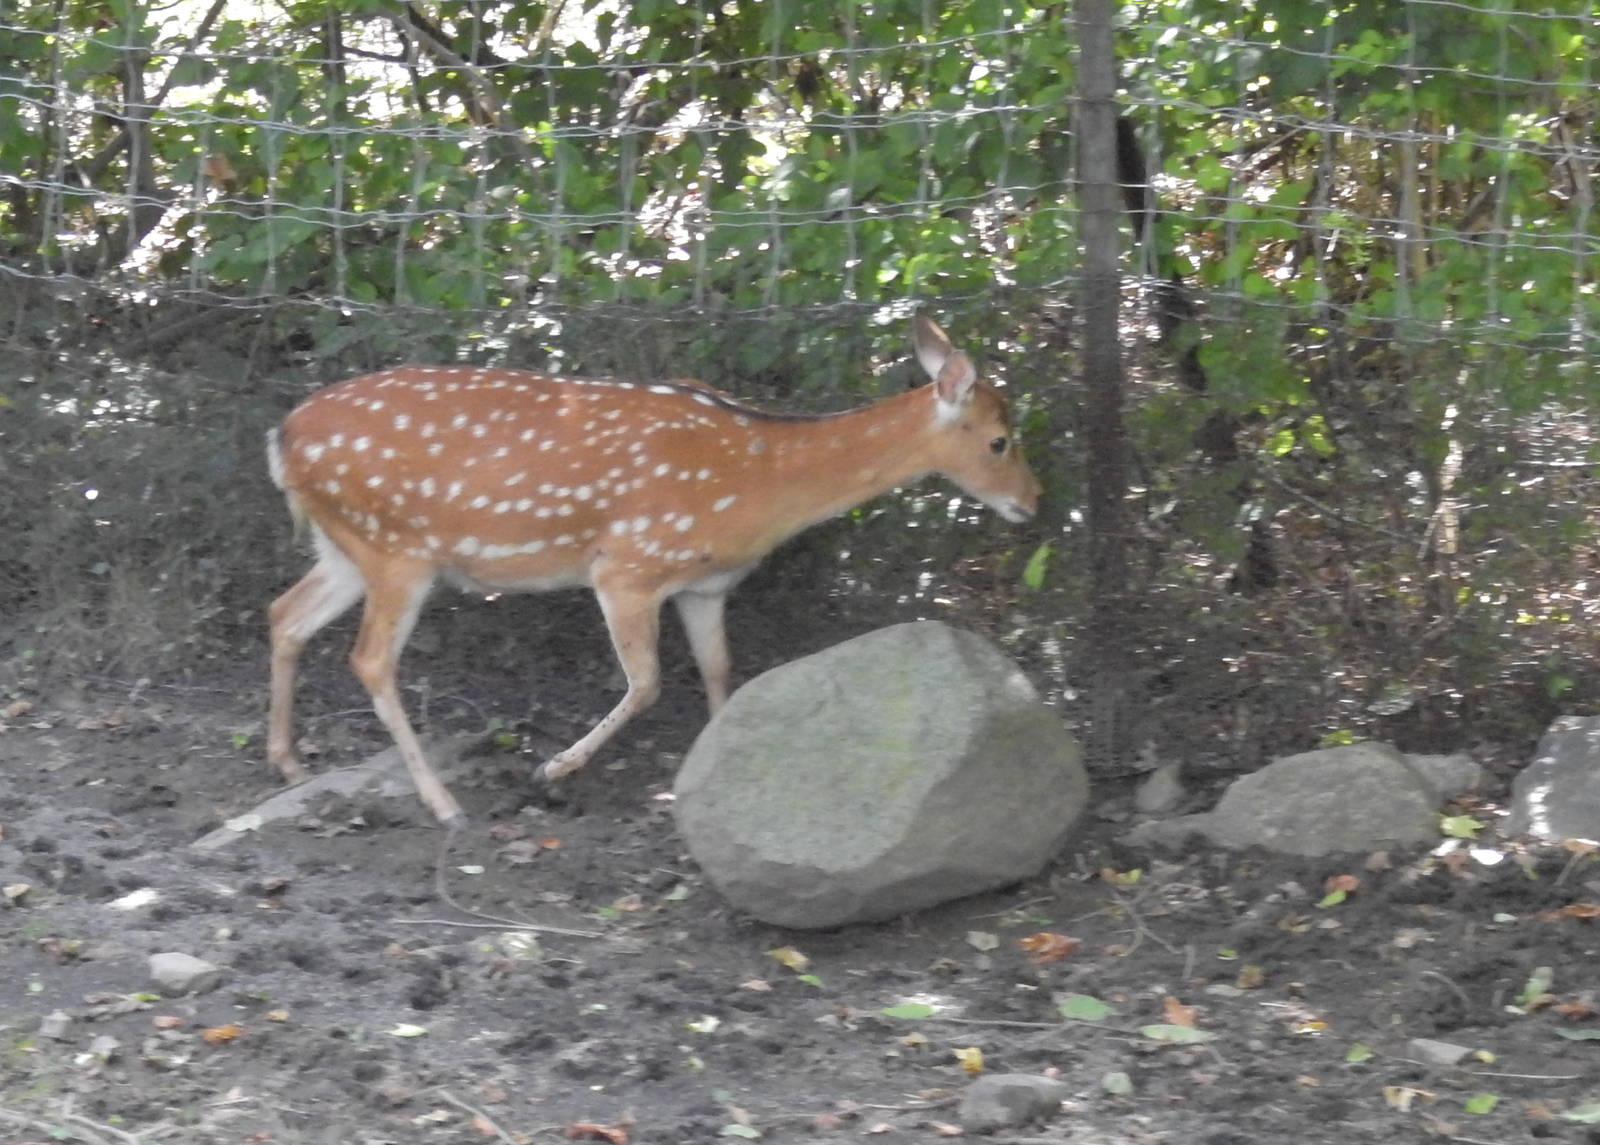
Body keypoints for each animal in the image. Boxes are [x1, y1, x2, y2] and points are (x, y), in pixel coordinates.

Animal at [265, 315, 1043, 825]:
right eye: (1000, 440)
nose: (1034, 501)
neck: (758, 481)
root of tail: (281, 436)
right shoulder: (629, 565)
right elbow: (647, 683)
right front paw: (551, 769)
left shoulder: (705, 586)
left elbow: (721, 672)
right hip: (397, 547)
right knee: (369, 658)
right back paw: (442, 802)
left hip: (348, 546)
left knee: (285, 614)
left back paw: (289, 762)